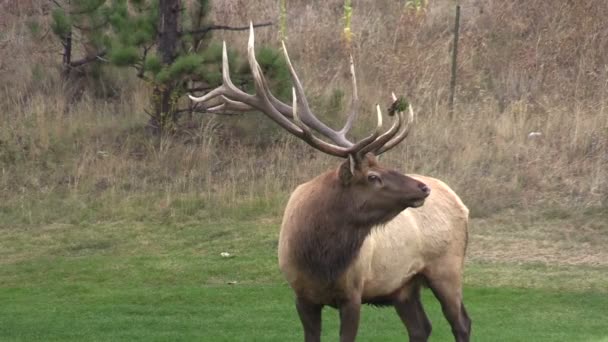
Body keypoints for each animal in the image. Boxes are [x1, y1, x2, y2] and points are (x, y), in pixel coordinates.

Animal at [190, 24, 470, 342]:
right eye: (373, 176)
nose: (423, 188)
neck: (320, 260)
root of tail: (459, 201)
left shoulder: (353, 293)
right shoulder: (302, 295)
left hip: (447, 268)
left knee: (461, 322)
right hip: (403, 285)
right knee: (420, 326)